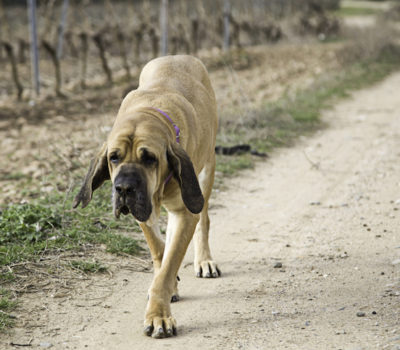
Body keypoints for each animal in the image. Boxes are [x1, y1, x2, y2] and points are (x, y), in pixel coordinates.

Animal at [73, 55, 220, 340]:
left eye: (149, 158)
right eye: (113, 157)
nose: (124, 189)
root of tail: (179, 55)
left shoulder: (186, 210)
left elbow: (169, 263)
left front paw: (158, 315)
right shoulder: (145, 212)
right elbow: (160, 252)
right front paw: (168, 287)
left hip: (206, 172)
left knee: (204, 219)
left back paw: (204, 260)